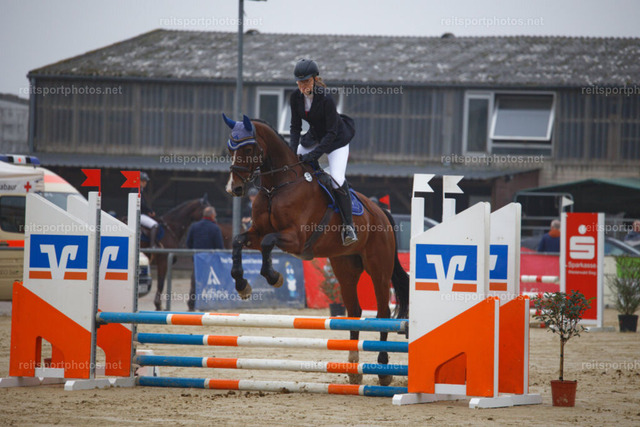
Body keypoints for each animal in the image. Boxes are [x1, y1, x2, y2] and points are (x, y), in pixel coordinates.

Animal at [223, 114, 409, 386]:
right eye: (230, 149)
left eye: (247, 149)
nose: (234, 189)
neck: (276, 186)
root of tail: (382, 212)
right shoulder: (255, 233)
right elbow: (238, 240)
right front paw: (241, 284)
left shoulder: (296, 238)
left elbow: (268, 242)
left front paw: (274, 277)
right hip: (345, 269)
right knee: (354, 311)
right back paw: (354, 369)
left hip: (379, 269)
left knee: (383, 312)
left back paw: (383, 368)